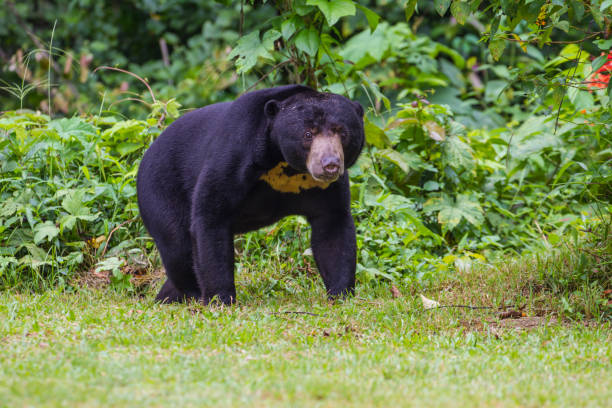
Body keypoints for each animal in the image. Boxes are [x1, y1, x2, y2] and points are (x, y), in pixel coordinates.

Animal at [137, 84, 366, 304]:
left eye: (342, 133)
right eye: (308, 134)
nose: (330, 165)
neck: (283, 163)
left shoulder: (324, 187)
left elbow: (332, 227)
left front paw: (340, 294)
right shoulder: (236, 153)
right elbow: (211, 216)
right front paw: (220, 298)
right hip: (160, 191)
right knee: (177, 247)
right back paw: (189, 295)